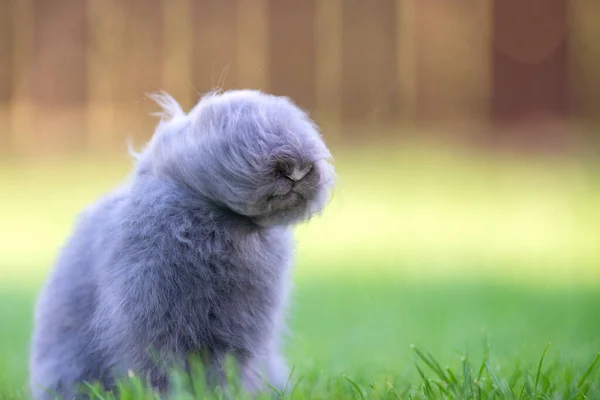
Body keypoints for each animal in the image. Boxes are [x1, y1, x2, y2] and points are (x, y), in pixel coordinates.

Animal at [30, 89, 336, 398]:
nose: (296, 170)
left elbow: (229, 368)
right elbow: (161, 368)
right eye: (225, 125)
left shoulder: (240, 329)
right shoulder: (155, 320)